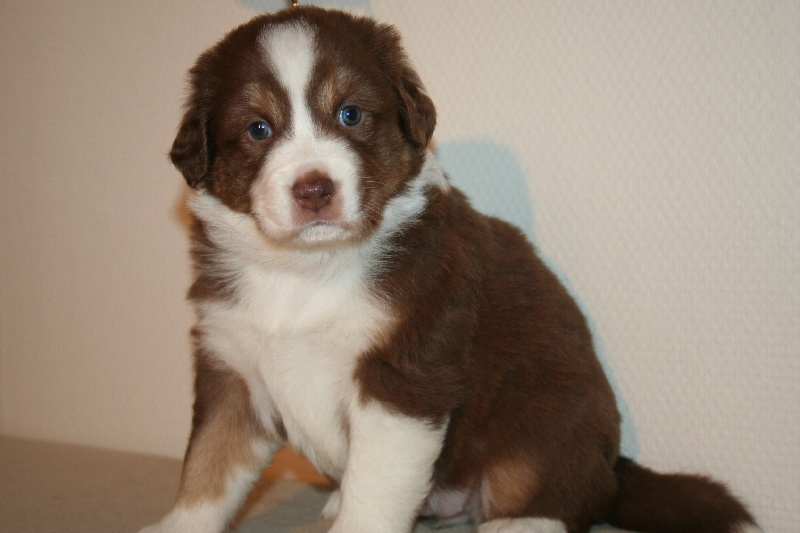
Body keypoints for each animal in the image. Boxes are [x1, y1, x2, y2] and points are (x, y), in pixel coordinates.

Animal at [141, 7, 759, 533]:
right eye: (258, 129)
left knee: (574, 494)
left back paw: (521, 523)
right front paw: (176, 526)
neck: (306, 270)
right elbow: (207, 466)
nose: (314, 189)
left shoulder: (405, 373)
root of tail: (613, 459)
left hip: (547, 419)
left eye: (350, 114)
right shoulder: (232, 367)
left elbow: (376, 486)